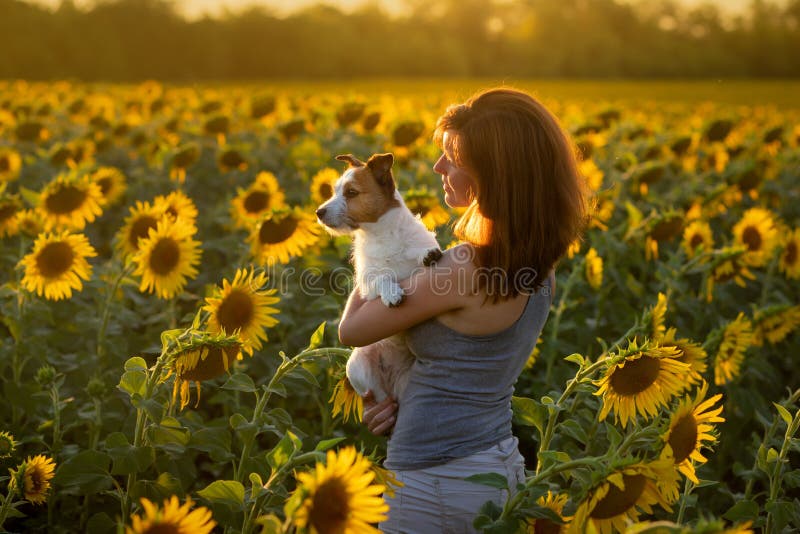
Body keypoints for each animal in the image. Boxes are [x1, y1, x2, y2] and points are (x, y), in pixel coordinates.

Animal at [316, 153, 444, 404]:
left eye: (351, 192)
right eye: (334, 191)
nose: (319, 212)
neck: (383, 235)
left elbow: (418, 256)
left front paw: (426, 255)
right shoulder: (367, 288)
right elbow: (382, 278)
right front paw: (392, 293)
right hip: (359, 370)